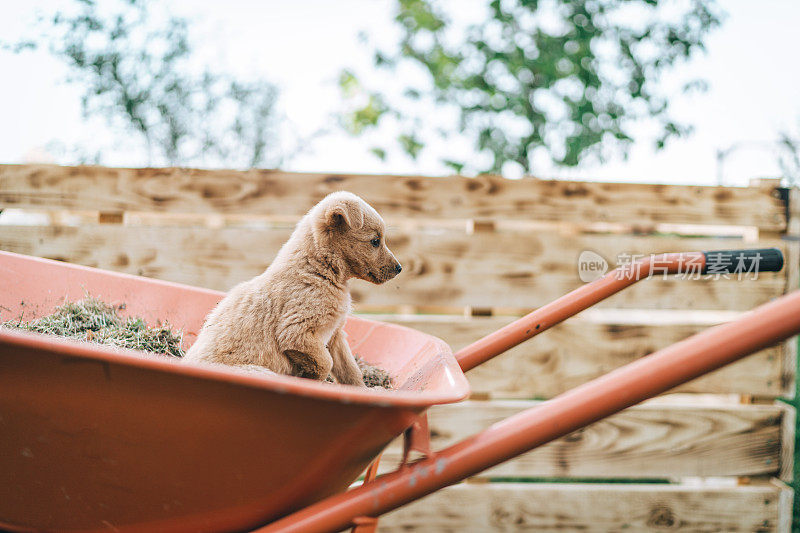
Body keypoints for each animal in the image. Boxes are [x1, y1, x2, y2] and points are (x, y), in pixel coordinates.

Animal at [184, 191, 404, 386]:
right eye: (375, 241)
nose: (399, 268)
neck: (317, 270)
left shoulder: (335, 334)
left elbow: (349, 370)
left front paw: (363, 390)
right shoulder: (296, 331)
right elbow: (325, 362)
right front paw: (309, 380)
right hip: (261, 373)